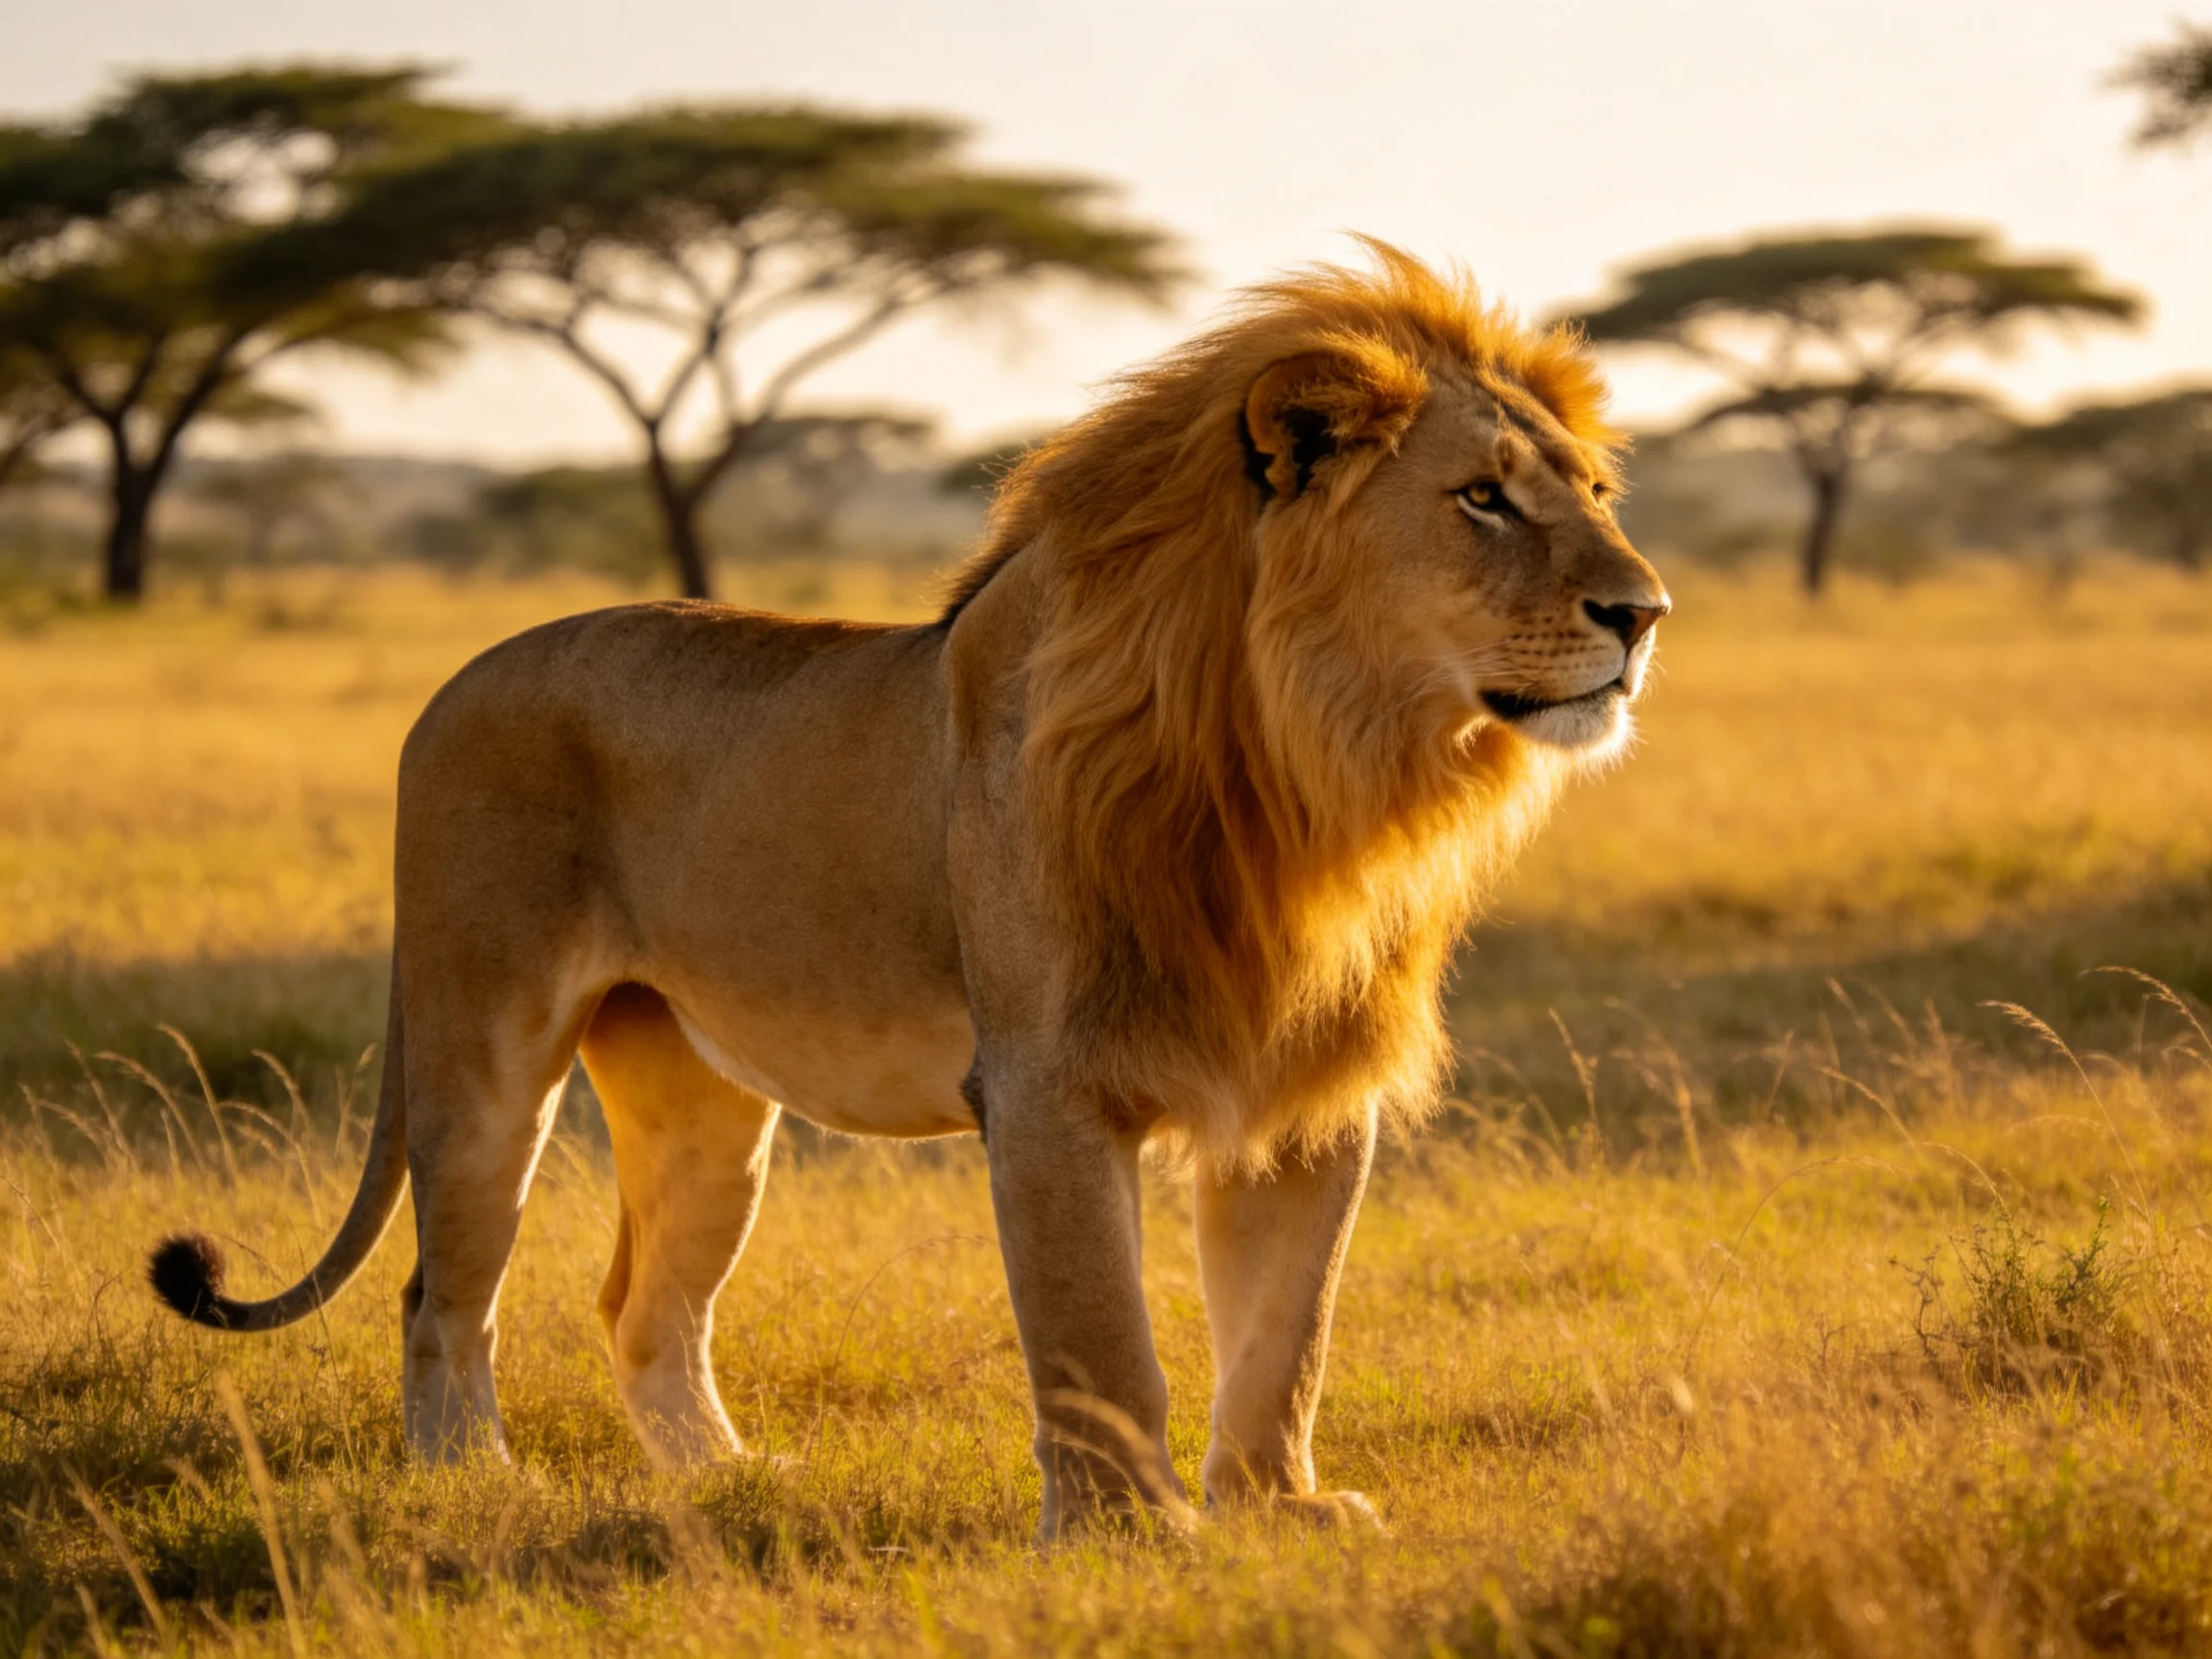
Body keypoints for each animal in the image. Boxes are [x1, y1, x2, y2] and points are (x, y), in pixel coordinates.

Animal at [149, 242, 1668, 1537]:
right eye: (1481, 498)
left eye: (1595, 496)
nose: (1645, 615)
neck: (1307, 767)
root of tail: (452, 683)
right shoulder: (1049, 1085)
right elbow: (1099, 1337)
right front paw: (1129, 1537)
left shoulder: (1304, 1082)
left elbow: (1287, 1330)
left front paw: (1273, 1511)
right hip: (482, 1050)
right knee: (442, 1291)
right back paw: (478, 1485)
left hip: (705, 1106)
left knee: (643, 1305)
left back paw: (729, 1486)